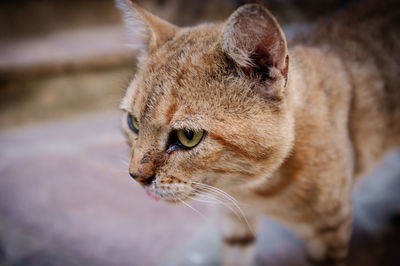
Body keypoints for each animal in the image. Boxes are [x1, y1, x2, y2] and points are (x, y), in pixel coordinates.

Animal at [114, 0, 398, 264]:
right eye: (133, 122)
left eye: (188, 136)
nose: (136, 176)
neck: (254, 188)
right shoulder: (236, 222)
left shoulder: (332, 231)